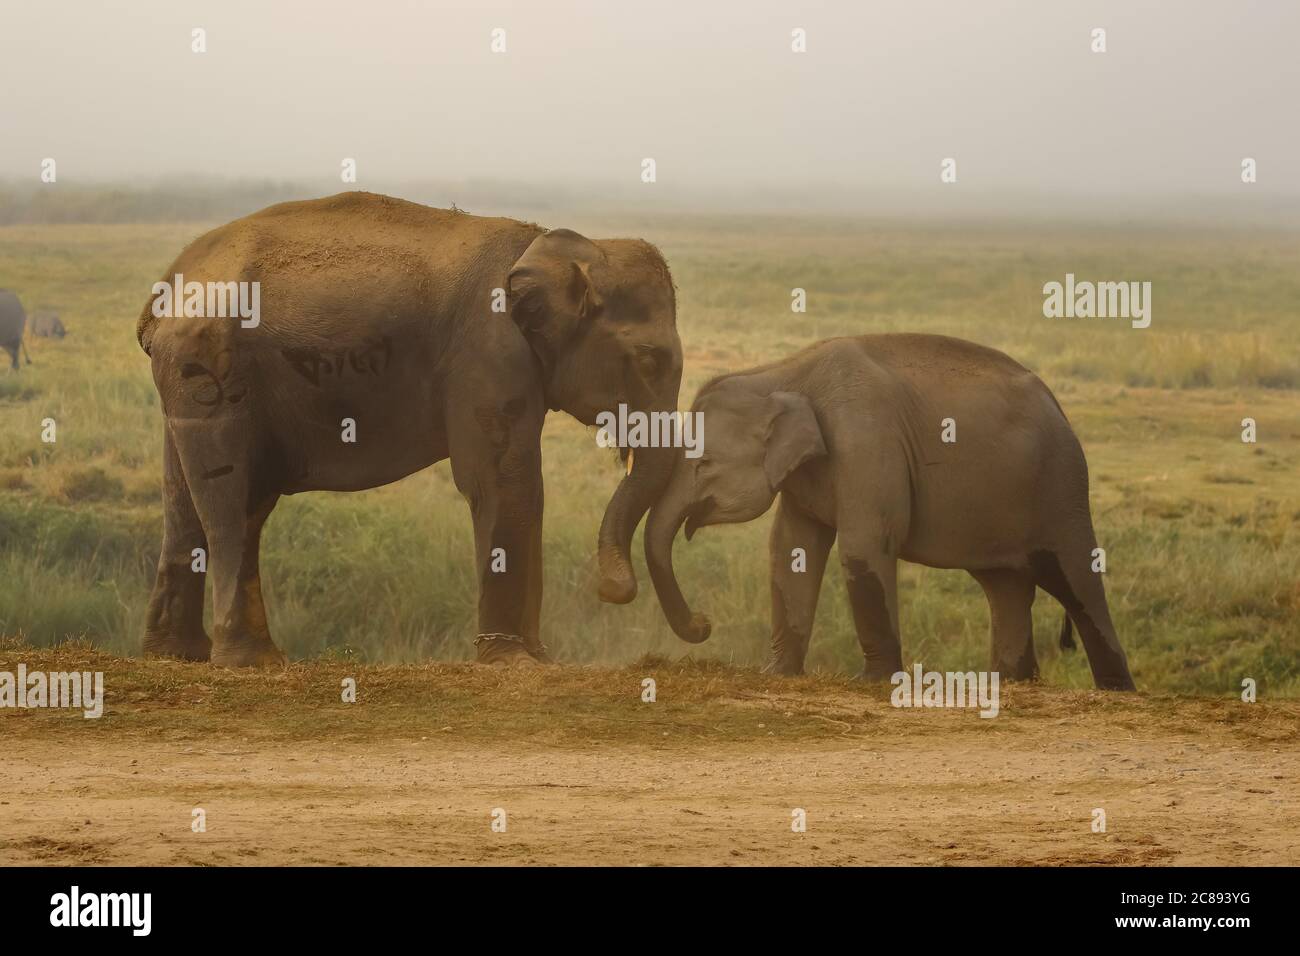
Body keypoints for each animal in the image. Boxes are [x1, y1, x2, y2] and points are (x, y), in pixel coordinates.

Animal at [138, 191, 681, 671]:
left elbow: (523, 491)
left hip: (187, 385)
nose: (611, 590)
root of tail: (162, 293)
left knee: (185, 500)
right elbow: (504, 483)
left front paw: (540, 659)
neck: (555, 247)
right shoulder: (489, 352)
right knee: (235, 502)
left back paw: (178, 654)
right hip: (212, 373)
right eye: (650, 361)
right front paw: (514, 662)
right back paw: (253, 661)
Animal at [650, 332, 1138, 691]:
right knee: (1006, 586)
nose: (703, 624)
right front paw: (778, 674)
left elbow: (863, 546)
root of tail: (1059, 407)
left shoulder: (866, 444)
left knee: (1077, 582)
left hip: (1061, 487)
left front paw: (873, 680)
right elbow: (790, 549)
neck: (781, 373)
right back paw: (1011, 683)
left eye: (704, 464)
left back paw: (1116, 689)